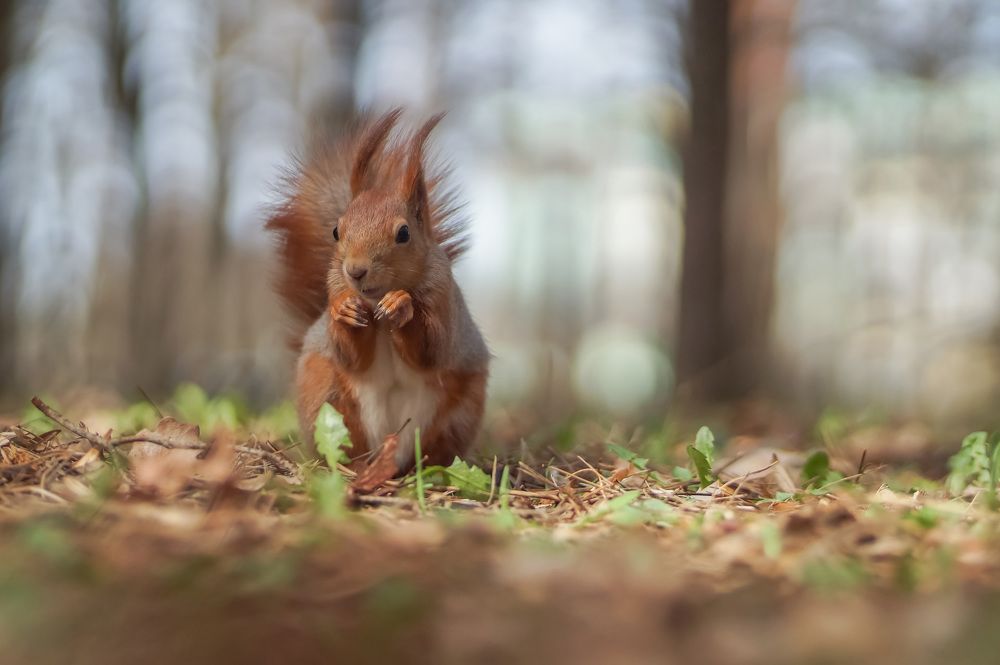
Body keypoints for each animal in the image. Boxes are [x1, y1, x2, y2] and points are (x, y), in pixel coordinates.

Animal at [266, 108, 489, 476]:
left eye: (404, 233)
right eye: (336, 230)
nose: (355, 270)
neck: (374, 301)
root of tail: (389, 452)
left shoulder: (442, 297)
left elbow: (432, 348)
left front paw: (401, 306)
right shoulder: (335, 294)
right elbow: (353, 356)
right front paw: (345, 310)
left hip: (460, 411)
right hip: (326, 396)